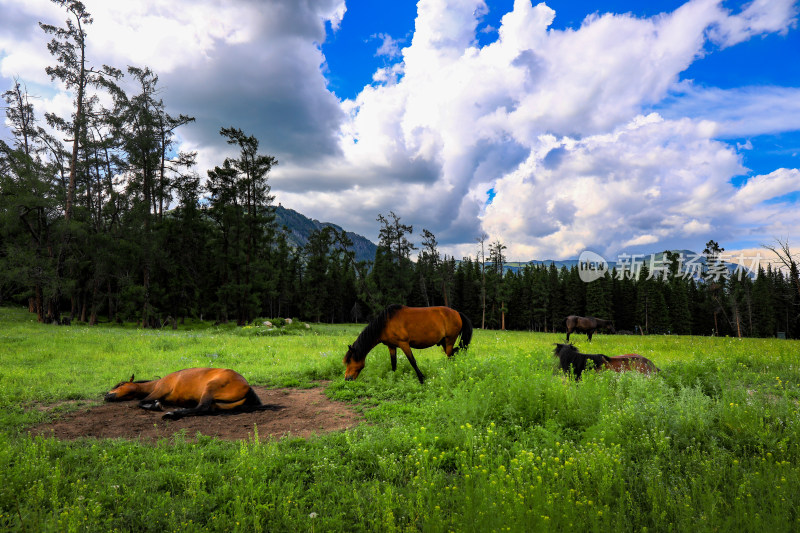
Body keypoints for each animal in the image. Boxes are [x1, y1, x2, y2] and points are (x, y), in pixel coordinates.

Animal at [104, 368, 282, 418]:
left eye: (120, 385)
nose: (106, 395)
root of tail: (247, 387)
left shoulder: (160, 390)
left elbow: (140, 402)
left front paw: (156, 406)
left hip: (210, 388)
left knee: (202, 408)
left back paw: (173, 414)